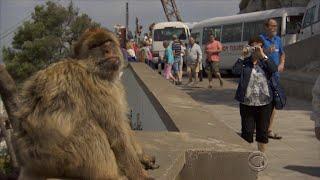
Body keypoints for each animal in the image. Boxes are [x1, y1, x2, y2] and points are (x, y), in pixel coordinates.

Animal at [12, 27, 158, 179]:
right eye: (94, 46)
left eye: (107, 42)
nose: (107, 50)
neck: (90, 68)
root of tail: (28, 162)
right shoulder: (97, 88)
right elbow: (116, 133)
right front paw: (139, 174)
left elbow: (123, 124)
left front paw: (142, 156)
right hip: (58, 158)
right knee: (89, 127)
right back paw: (111, 175)